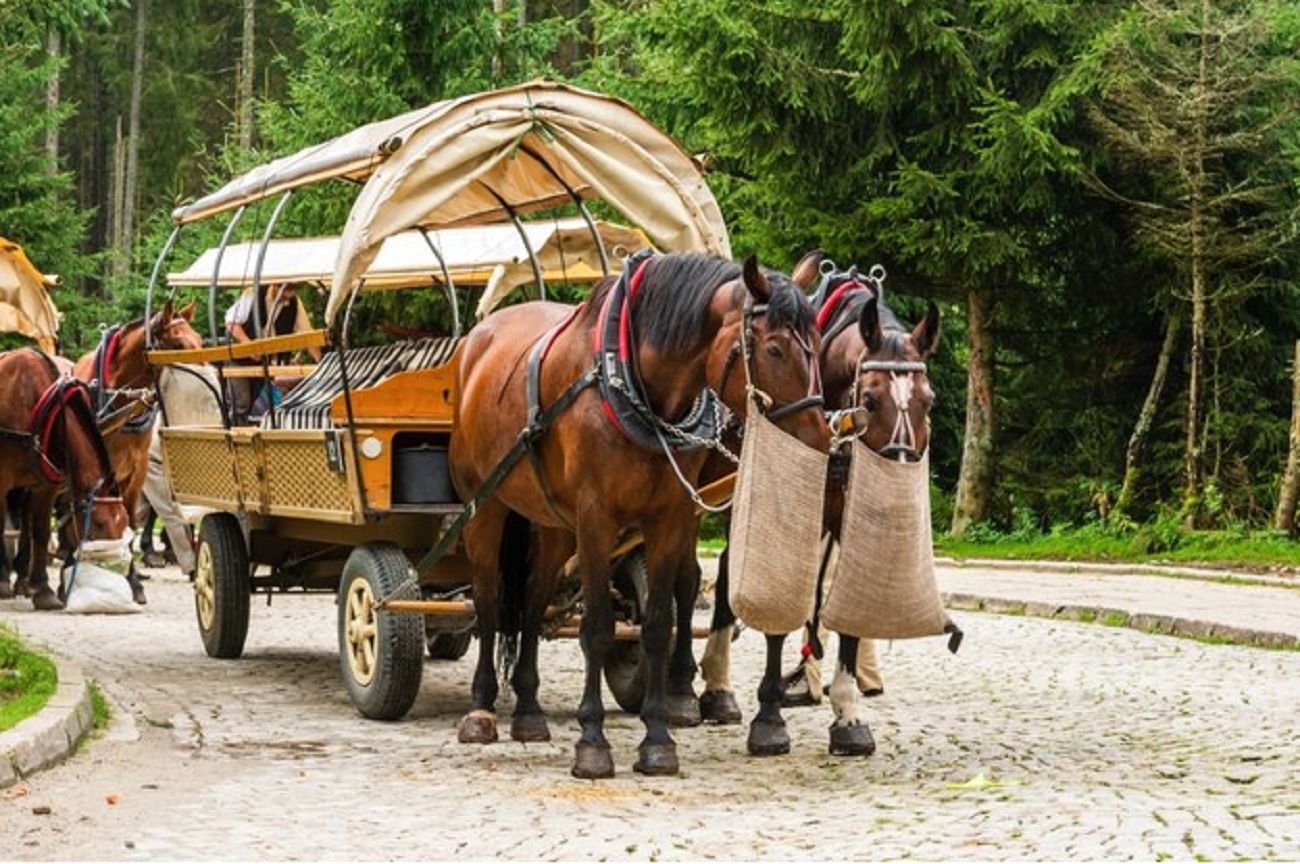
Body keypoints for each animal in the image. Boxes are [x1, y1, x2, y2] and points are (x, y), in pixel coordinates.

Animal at [0, 348, 130, 605]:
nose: (112, 569)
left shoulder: (44, 486)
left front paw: (42, 590)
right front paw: (2, 583)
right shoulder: (1, 478)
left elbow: (40, 531)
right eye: (98, 523)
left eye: (124, 522)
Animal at [452, 253, 826, 779]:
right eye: (774, 349)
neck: (632, 382)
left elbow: (656, 625)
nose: (819, 440)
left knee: (531, 601)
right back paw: (482, 710)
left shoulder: (669, 518)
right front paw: (592, 742)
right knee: (487, 600)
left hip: (550, 522)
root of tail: (476, 339)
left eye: (817, 344)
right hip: (484, 506)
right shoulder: (595, 519)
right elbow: (598, 629)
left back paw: (528, 711)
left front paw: (658, 739)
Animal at [702, 254, 935, 753]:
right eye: (870, 399)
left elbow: (846, 611)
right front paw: (769, 718)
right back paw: (711, 687)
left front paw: (847, 713)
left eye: (929, 401)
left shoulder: (849, 518)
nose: (895, 494)